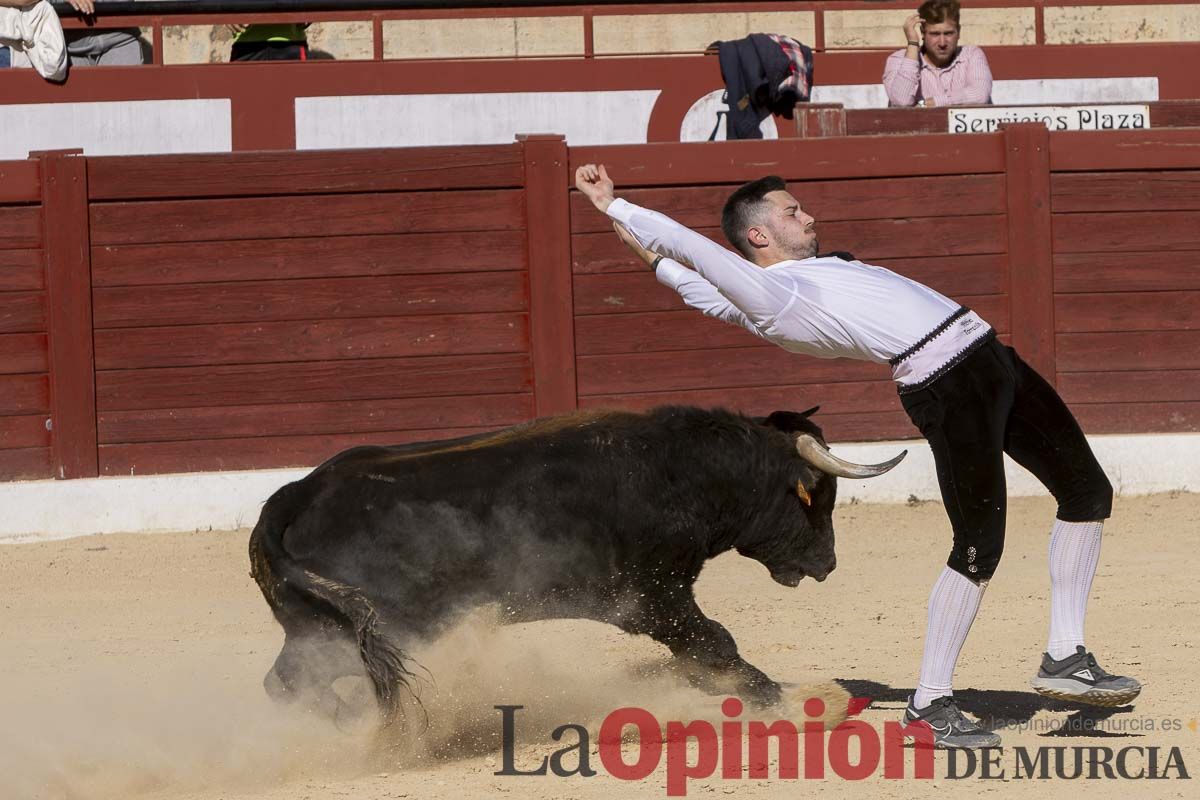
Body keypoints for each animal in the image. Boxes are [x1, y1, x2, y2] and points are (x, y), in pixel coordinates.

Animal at [246, 402, 902, 724]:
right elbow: (715, 640)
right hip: (368, 632)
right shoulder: (652, 599)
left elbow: (702, 651)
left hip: (321, 632)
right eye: (818, 496)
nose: (827, 564)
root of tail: (294, 496)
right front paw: (795, 701)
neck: (680, 470)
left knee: (284, 683)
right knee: (291, 684)